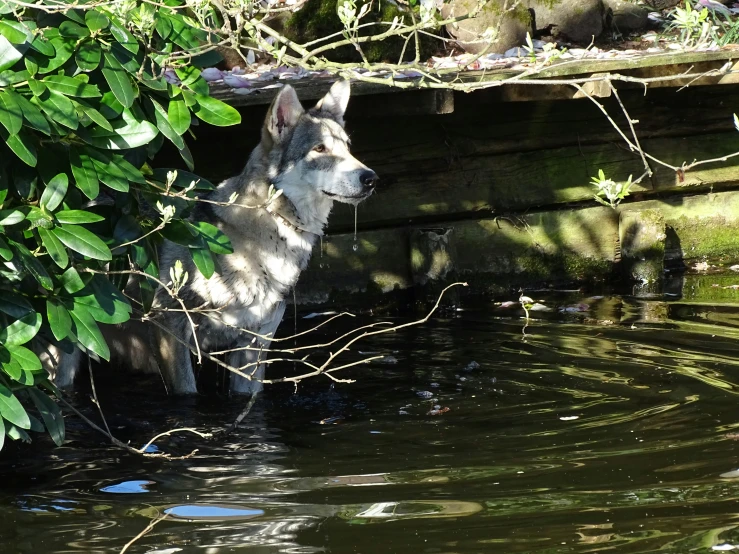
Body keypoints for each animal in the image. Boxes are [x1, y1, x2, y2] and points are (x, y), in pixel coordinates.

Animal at [45, 80, 378, 394]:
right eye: (320, 149)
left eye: (348, 148)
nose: (371, 178)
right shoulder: (170, 329)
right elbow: (186, 394)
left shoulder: (255, 343)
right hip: (60, 355)